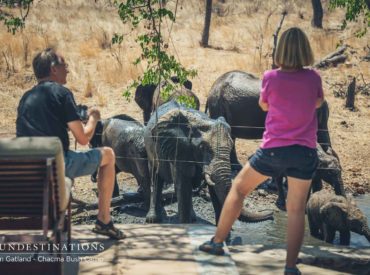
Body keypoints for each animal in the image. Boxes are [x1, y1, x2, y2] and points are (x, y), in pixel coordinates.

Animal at [143, 101, 274, 224]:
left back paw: (193, 218)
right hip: (150, 150)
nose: (271, 213)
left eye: (231, 146)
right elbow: (183, 186)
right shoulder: (179, 149)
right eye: (202, 147)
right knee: (156, 178)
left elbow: (213, 189)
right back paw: (152, 219)